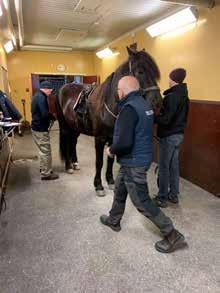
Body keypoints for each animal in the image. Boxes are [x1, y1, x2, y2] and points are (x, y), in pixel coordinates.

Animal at [56, 45, 162, 194]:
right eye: (140, 71)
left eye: (156, 74)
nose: (157, 103)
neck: (108, 104)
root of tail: (63, 88)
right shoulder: (99, 139)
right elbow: (99, 162)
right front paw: (98, 185)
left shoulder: (113, 139)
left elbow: (110, 160)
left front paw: (110, 181)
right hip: (65, 127)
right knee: (66, 143)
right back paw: (68, 166)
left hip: (75, 127)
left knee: (72, 143)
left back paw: (75, 163)